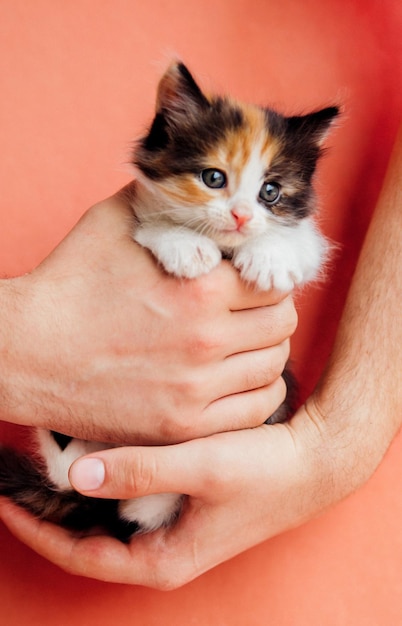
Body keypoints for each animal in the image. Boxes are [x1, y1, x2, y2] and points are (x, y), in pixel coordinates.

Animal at [0, 64, 340, 540]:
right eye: (214, 178)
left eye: (270, 192)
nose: (241, 217)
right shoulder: (139, 210)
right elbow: (153, 225)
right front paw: (186, 246)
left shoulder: (306, 242)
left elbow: (304, 243)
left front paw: (270, 257)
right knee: (68, 468)